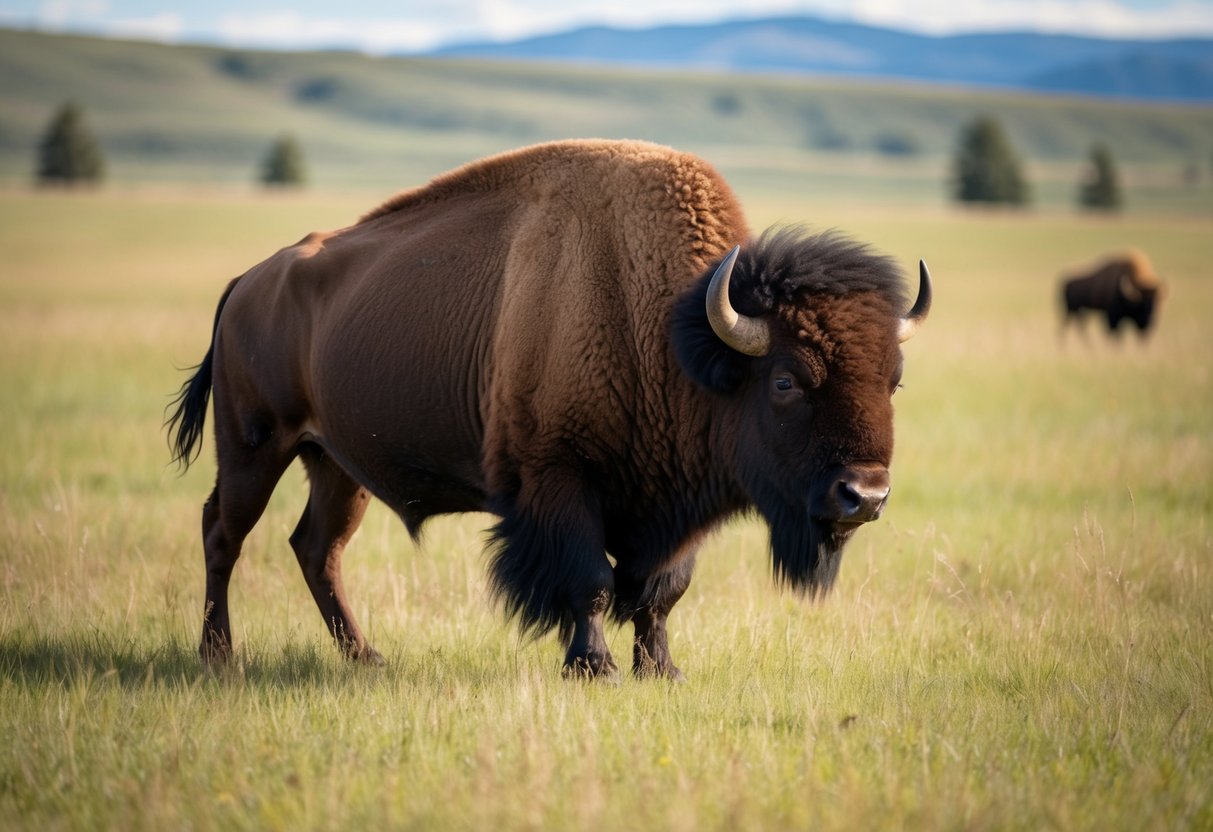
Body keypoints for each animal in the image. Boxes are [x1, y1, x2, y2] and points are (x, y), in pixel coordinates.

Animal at [167, 139, 931, 679]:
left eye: (894, 381)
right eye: (785, 382)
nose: (864, 495)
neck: (671, 332)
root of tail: (248, 281)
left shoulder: (673, 503)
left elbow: (660, 589)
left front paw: (662, 670)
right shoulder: (558, 480)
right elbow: (588, 581)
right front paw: (593, 667)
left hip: (336, 464)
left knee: (316, 548)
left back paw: (366, 657)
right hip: (254, 446)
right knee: (222, 534)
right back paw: (219, 657)